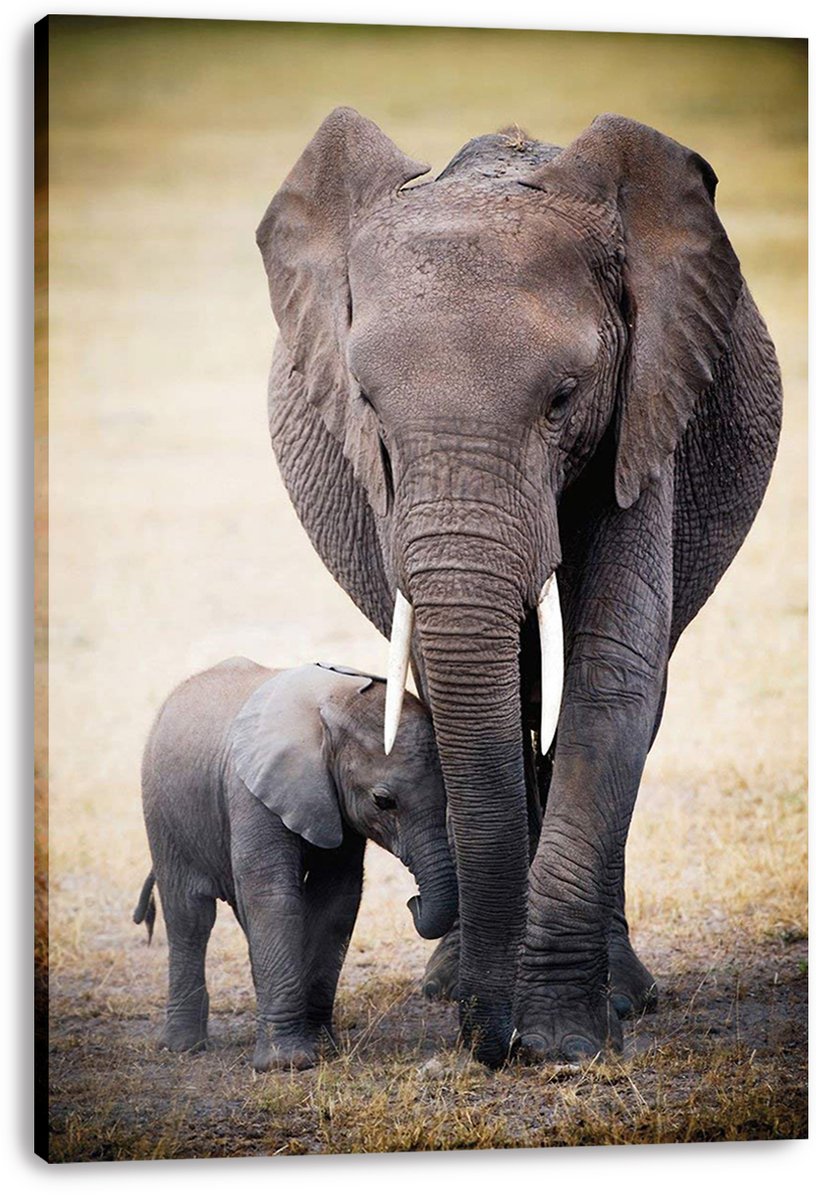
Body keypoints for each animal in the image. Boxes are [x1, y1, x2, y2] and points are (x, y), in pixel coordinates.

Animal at [134, 658, 457, 1071]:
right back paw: (183, 1047)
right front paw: (286, 1064)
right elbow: (274, 897)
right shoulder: (251, 791)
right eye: (383, 801)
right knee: (189, 916)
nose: (413, 902)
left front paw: (322, 1048)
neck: (330, 707)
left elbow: (336, 900)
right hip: (162, 814)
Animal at [255, 110, 782, 1067]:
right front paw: (508, 1019)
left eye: (564, 398)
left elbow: (613, 672)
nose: (487, 1042)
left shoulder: (646, 404)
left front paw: (565, 1044)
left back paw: (623, 996)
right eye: (366, 403)